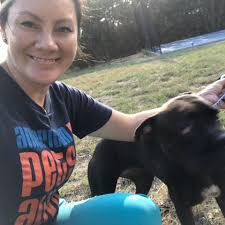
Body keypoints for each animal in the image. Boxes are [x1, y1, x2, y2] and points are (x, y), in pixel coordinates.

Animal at [88, 95, 225, 225]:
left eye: (216, 117)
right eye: (186, 127)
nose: (223, 139)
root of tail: (98, 146)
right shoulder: (182, 205)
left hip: (144, 182)